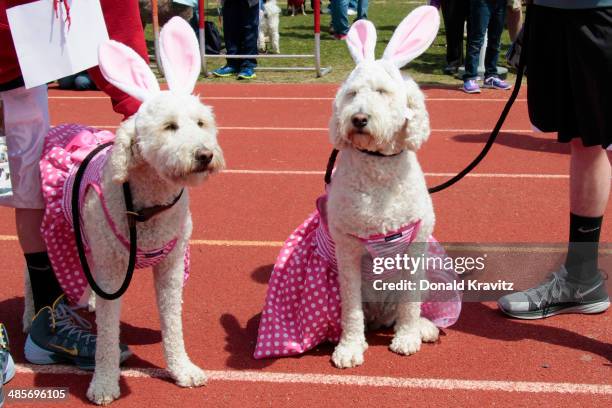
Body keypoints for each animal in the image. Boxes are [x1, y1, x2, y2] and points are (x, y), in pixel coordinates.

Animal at [328, 5, 442, 370]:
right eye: (352, 94)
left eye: (382, 92)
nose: (358, 118)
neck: (377, 166)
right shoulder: (347, 248)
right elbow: (351, 310)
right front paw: (350, 347)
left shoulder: (416, 244)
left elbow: (410, 303)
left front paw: (407, 338)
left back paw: (423, 327)